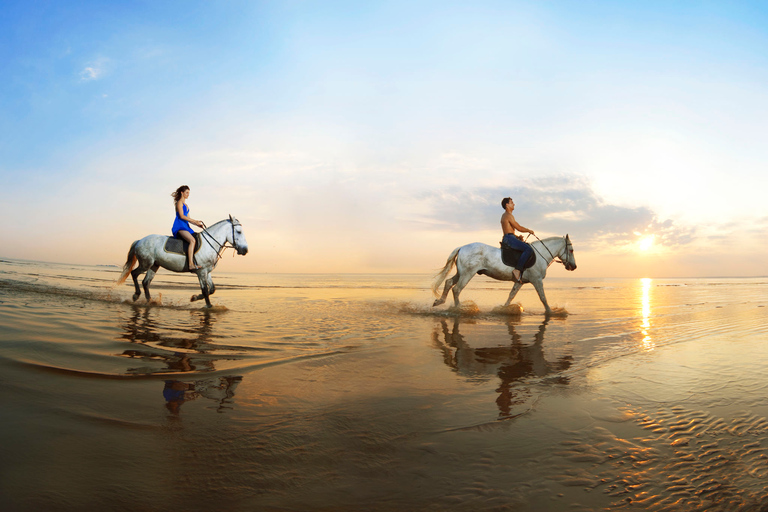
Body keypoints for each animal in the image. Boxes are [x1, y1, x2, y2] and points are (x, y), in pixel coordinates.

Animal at [118, 214, 249, 306]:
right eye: (239, 232)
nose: (245, 250)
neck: (210, 244)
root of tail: (139, 241)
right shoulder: (201, 272)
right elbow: (205, 290)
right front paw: (207, 306)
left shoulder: (207, 272)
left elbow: (212, 289)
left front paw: (194, 298)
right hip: (146, 263)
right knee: (134, 273)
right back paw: (136, 295)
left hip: (154, 265)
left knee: (146, 282)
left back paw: (150, 301)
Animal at [432, 234, 576, 314]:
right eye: (571, 250)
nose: (574, 266)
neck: (541, 254)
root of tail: (462, 247)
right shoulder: (537, 280)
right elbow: (543, 297)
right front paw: (550, 311)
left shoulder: (520, 282)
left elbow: (511, 295)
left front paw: (504, 309)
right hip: (467, 274)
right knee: (456, 289)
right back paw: (459, 309)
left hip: (461, 273)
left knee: (448, 282)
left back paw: (440, 301)